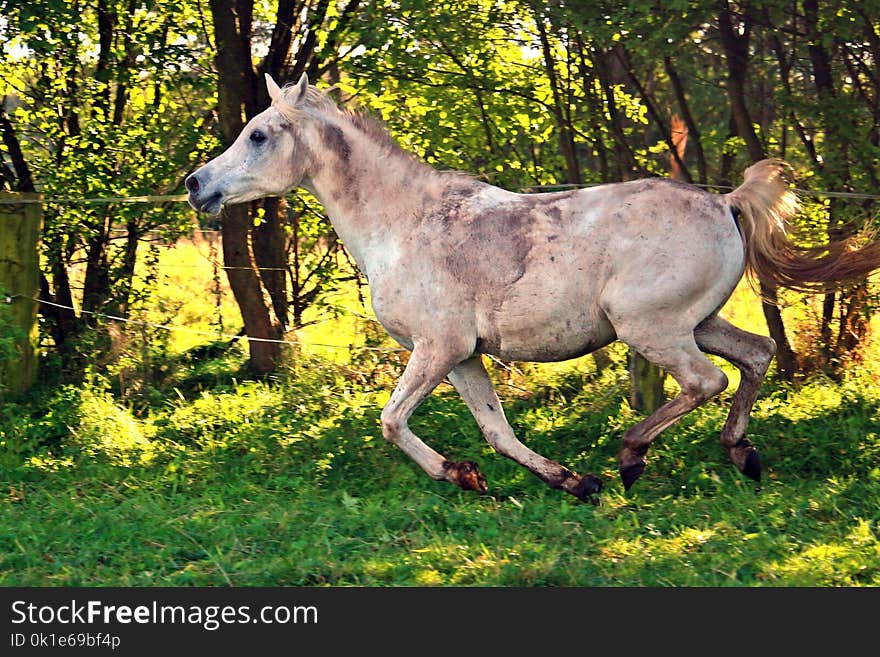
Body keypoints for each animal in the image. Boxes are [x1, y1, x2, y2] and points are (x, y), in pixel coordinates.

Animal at [186, 74, 880, 498]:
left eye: (258, 135)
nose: (197, 186)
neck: (406, 224)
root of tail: (726, 202)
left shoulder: (436, 348)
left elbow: (390, 420)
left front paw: (458, 474)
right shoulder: (462, 356)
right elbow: (497, 431)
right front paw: (567, 483)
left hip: (650, 327)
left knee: (707, 381)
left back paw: (631, 457)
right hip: (698, 322)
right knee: (757, 356)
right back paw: (740, 454)